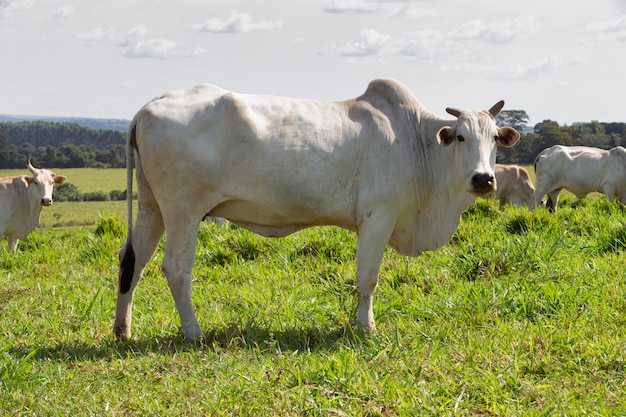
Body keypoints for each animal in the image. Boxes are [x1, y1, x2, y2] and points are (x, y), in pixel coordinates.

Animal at [111, 79, 516, 342]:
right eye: (460, 136)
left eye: (495, 138)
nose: (484, 179)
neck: (416, 141)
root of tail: (150, 104)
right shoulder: (379, 216)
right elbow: (368, 278)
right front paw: (366, 328)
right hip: (183, 212)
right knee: (175, 269)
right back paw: (193, 332)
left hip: (153, 208)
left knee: (133, 262)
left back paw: (123, 330)